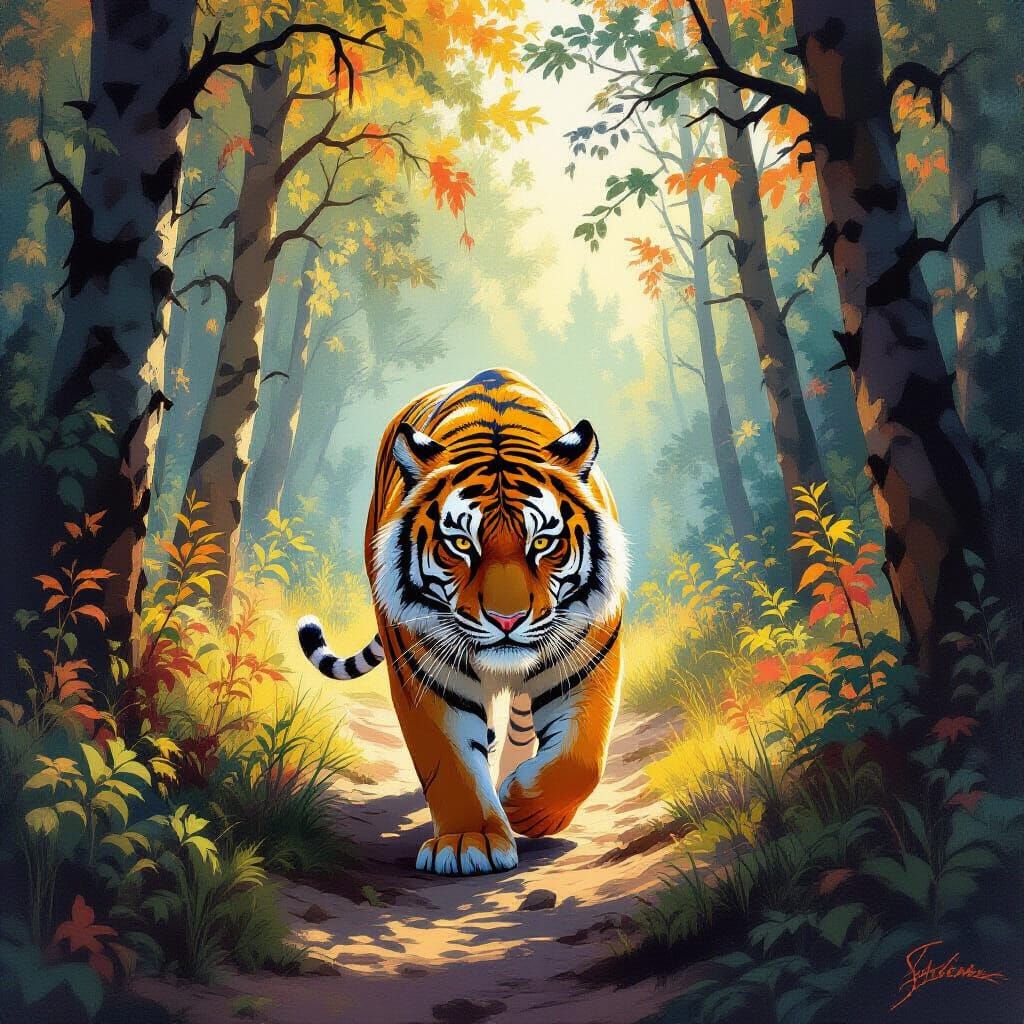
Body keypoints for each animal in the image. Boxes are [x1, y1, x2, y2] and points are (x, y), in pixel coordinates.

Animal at [297, 368, 627, 875]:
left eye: (543, 542)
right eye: (461, 543)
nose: (507, 619)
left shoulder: (588, 658)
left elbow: (581, 758)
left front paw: (527, 808)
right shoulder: (426, 672)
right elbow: (449, 760)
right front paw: (470, 841)